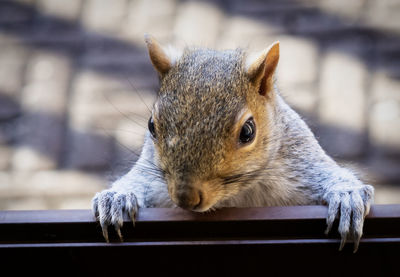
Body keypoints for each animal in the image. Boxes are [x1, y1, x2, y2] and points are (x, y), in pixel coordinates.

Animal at [92, 34, 374, 250]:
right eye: (151, 125)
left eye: (248, 131)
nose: (185, 198)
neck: (236, 195)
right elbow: (138, 181)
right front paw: (117, 198)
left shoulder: (300, 163)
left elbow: (328, 175)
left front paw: (347, 197)